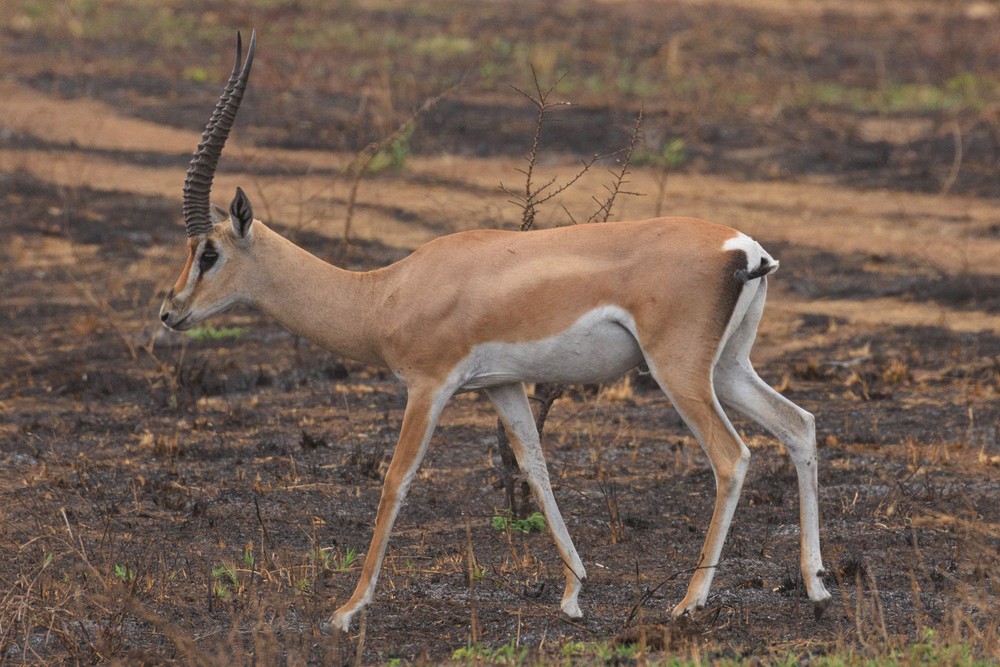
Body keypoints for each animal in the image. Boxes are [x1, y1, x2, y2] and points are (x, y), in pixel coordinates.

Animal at [160, 32, 832, 633]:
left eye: (209, 253)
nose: (171, 311)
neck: (383, 294)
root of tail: (746, 249)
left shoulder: (428, 387)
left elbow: (396, 481)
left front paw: (347, 611)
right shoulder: (501, 386)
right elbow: (534, 466)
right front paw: (573, 594)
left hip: (679, 372)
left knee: (732, 456)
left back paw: (689, 602)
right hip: (728, 367)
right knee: (798, 425)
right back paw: (816, 587)